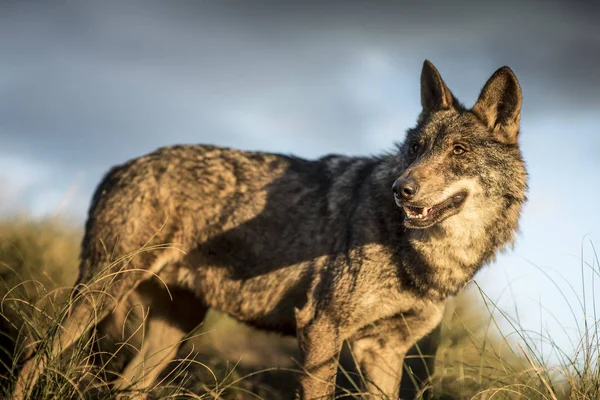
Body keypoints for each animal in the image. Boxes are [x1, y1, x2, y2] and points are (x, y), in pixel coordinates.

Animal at [14, 60, 524, 400]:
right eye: (416, 148)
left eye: (458, 150)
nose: (402, 190)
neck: (420, 256)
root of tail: (121, 166)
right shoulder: (321, 328)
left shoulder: (383, 351)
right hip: (100, 295)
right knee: (34, 357)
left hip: (171, 330)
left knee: (123, 388)